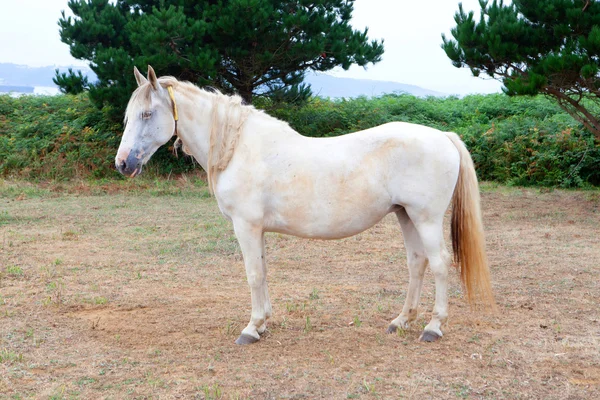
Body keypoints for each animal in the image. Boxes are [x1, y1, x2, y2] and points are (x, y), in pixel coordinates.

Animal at [115, 65, 494, 344]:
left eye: (147, 114)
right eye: (129, 116)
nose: (123, 164)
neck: (237, 146)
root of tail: (443, 136)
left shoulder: (246, 226)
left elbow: (253, 274)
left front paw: (251, 328)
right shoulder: (256, 229)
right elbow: (263, 271)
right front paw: (263, 323)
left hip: (426, 218)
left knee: (440, 263)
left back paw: (433, 327)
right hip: (406, 216)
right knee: (417, 263)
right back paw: (401, 321)